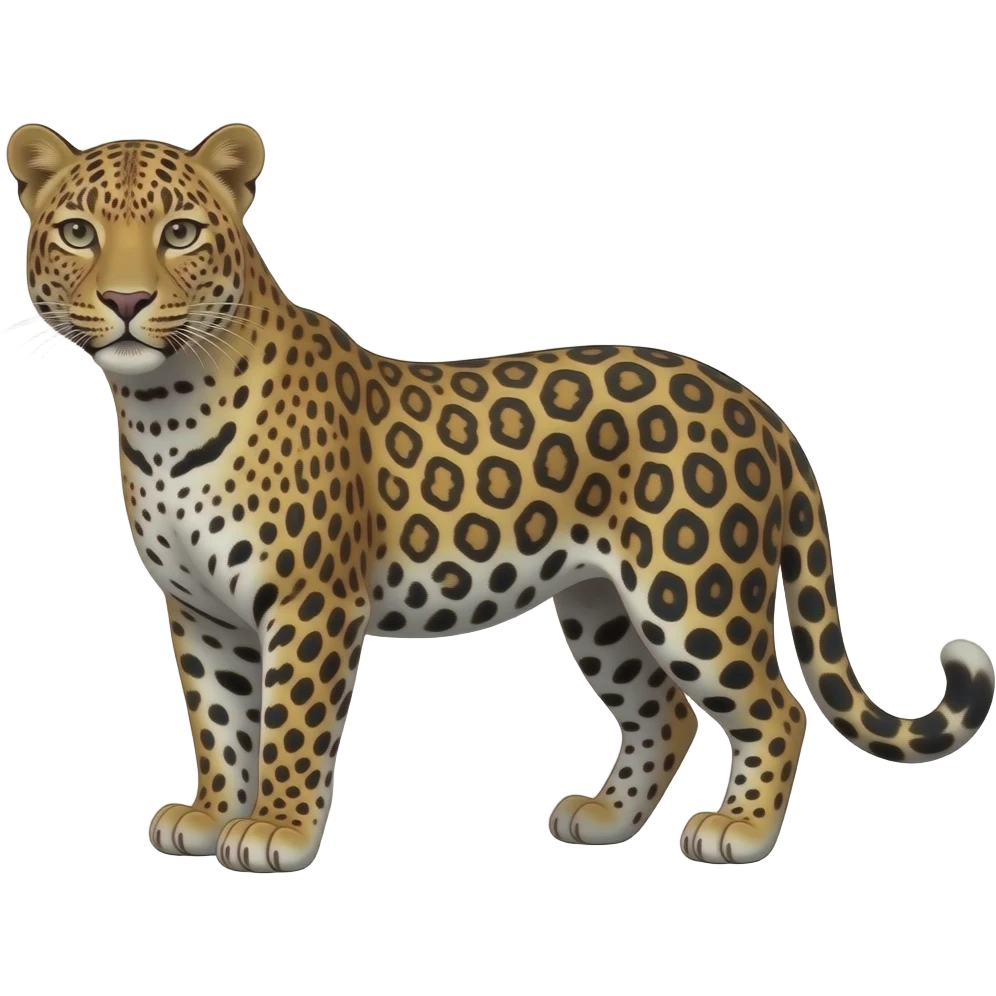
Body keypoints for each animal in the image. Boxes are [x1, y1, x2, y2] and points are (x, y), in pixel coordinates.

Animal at [5, 121, 994, 871]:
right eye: (78, 233)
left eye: (179, 233)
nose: (126, 301)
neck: (162, 407)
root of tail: (758, 406)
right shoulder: (199, 609)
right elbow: (218, 717)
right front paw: (211, 812)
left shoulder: (312, 599)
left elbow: (290, 720)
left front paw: (275, 830)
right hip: (601, 605)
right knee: (664, 713)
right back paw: (604, 817)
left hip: (691, 591)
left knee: (776, 709)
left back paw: (739, 830)